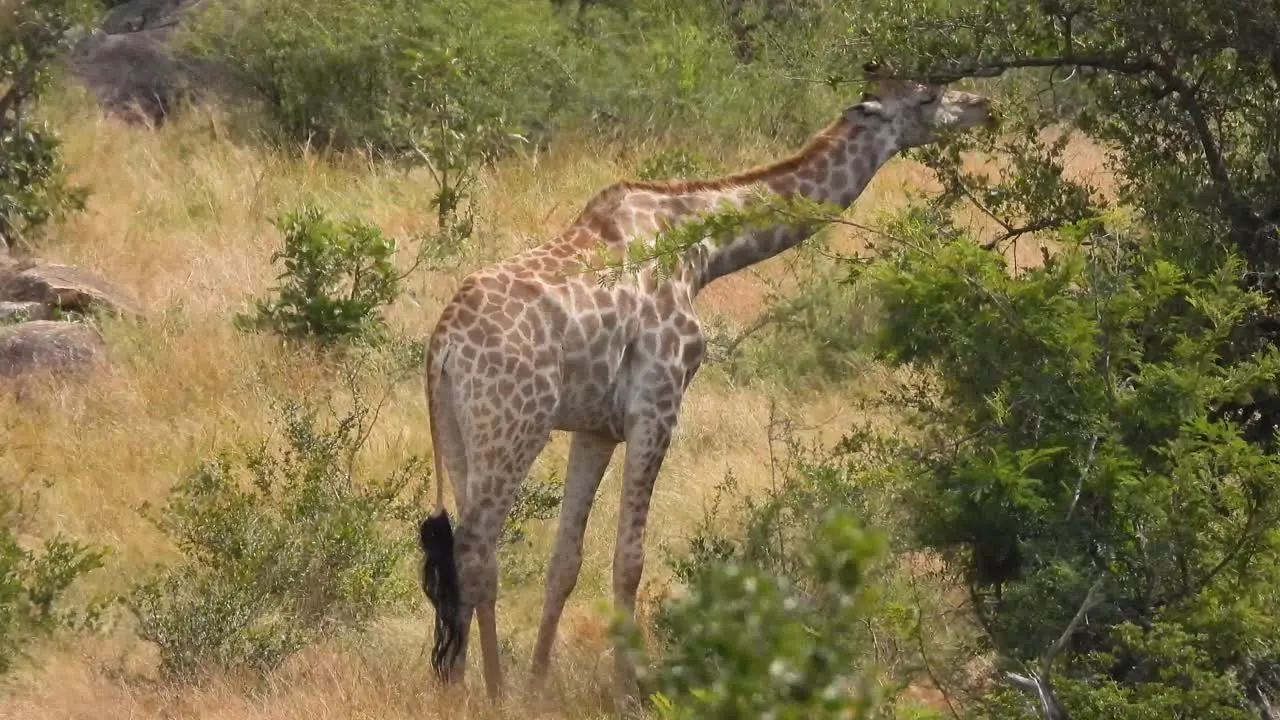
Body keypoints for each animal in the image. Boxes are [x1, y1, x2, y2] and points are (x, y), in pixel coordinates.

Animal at [414, 67, 993, 707]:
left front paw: (541, 682)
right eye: (928, 96)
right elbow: (629, 560)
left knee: (462, 554)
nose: (984, 105)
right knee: (476, 552)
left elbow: (565, 561)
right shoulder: (658, 402)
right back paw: (488, 690)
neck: (704, 248)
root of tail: (441, 346)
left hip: (462, 435)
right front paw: (628, 693)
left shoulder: (596, 426)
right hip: (515, 426)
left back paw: (463, 681)